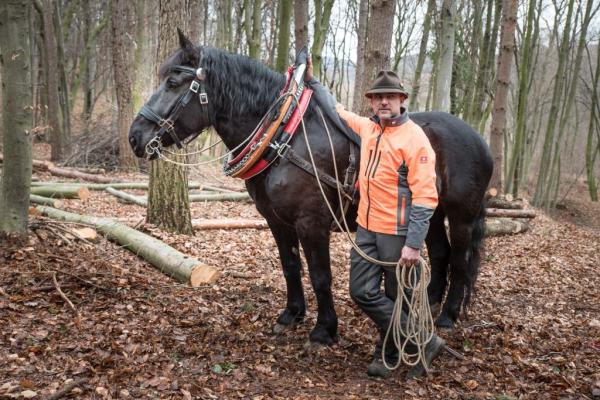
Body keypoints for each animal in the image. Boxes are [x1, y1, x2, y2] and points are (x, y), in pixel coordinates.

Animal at [127, 31, 492, 346]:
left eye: (173, 82)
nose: (135, 137)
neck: (285, 136)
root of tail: (478, 138)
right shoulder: (277, 220)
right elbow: (290, 266)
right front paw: (292, 313)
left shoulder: (311, 222)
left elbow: (320, 275)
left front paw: (325, 329)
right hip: (430, 213)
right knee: (440, 253)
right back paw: (425, 304)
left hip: (461, 216)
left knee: (460, 260)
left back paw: (447, 315)